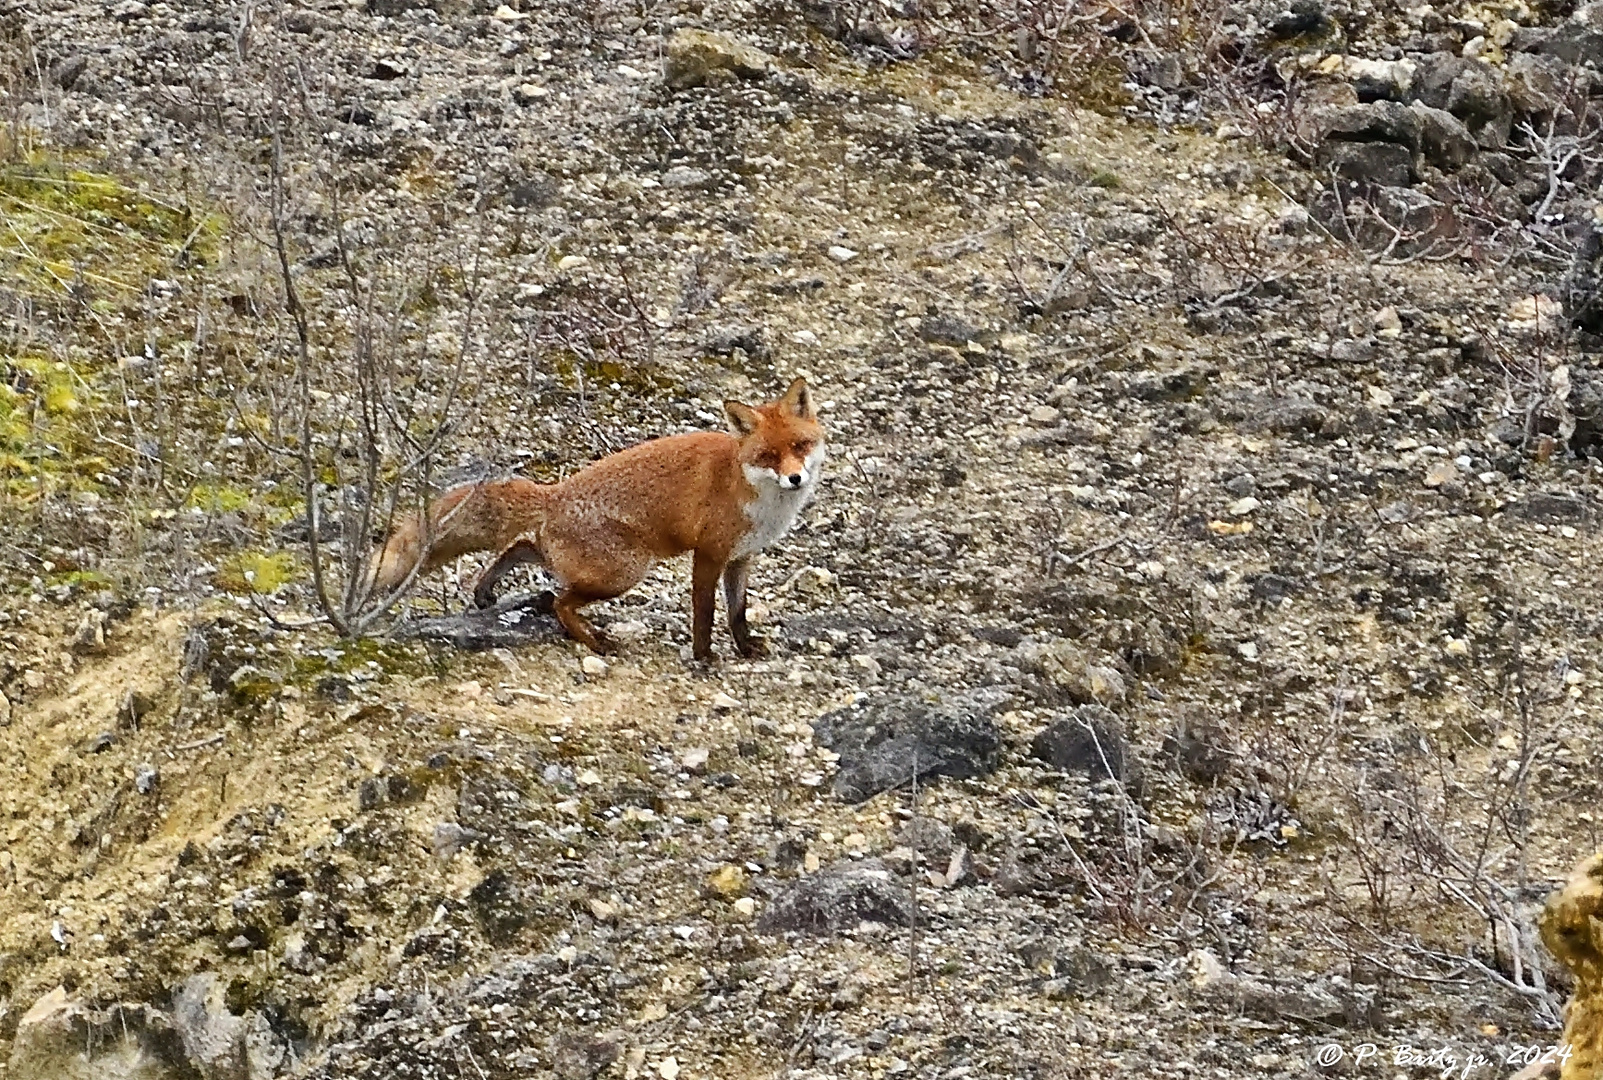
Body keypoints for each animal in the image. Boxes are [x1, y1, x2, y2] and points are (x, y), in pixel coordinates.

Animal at [367, 378, 827, 663]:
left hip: (596, 564)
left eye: (800, 446)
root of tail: (553, 494)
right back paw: (593, 640)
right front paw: (703, 656)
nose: (795, 478)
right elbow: (705, 612)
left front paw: (745, 649)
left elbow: (737, 613)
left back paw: (487, 590)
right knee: (559, 599)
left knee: (522, 548)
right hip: (625, 570)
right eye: (768, 455)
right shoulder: (709, 553)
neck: (752, 493)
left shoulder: (741, 557)